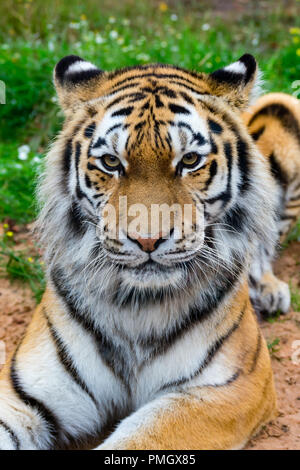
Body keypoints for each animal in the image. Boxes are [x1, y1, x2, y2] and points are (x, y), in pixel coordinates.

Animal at [0, 52, 300, 452]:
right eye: (111, 162)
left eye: (189, 160)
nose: (147, 240)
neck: (137, 305)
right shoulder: (26, 391)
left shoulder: (229, 388)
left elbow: (140, 439)